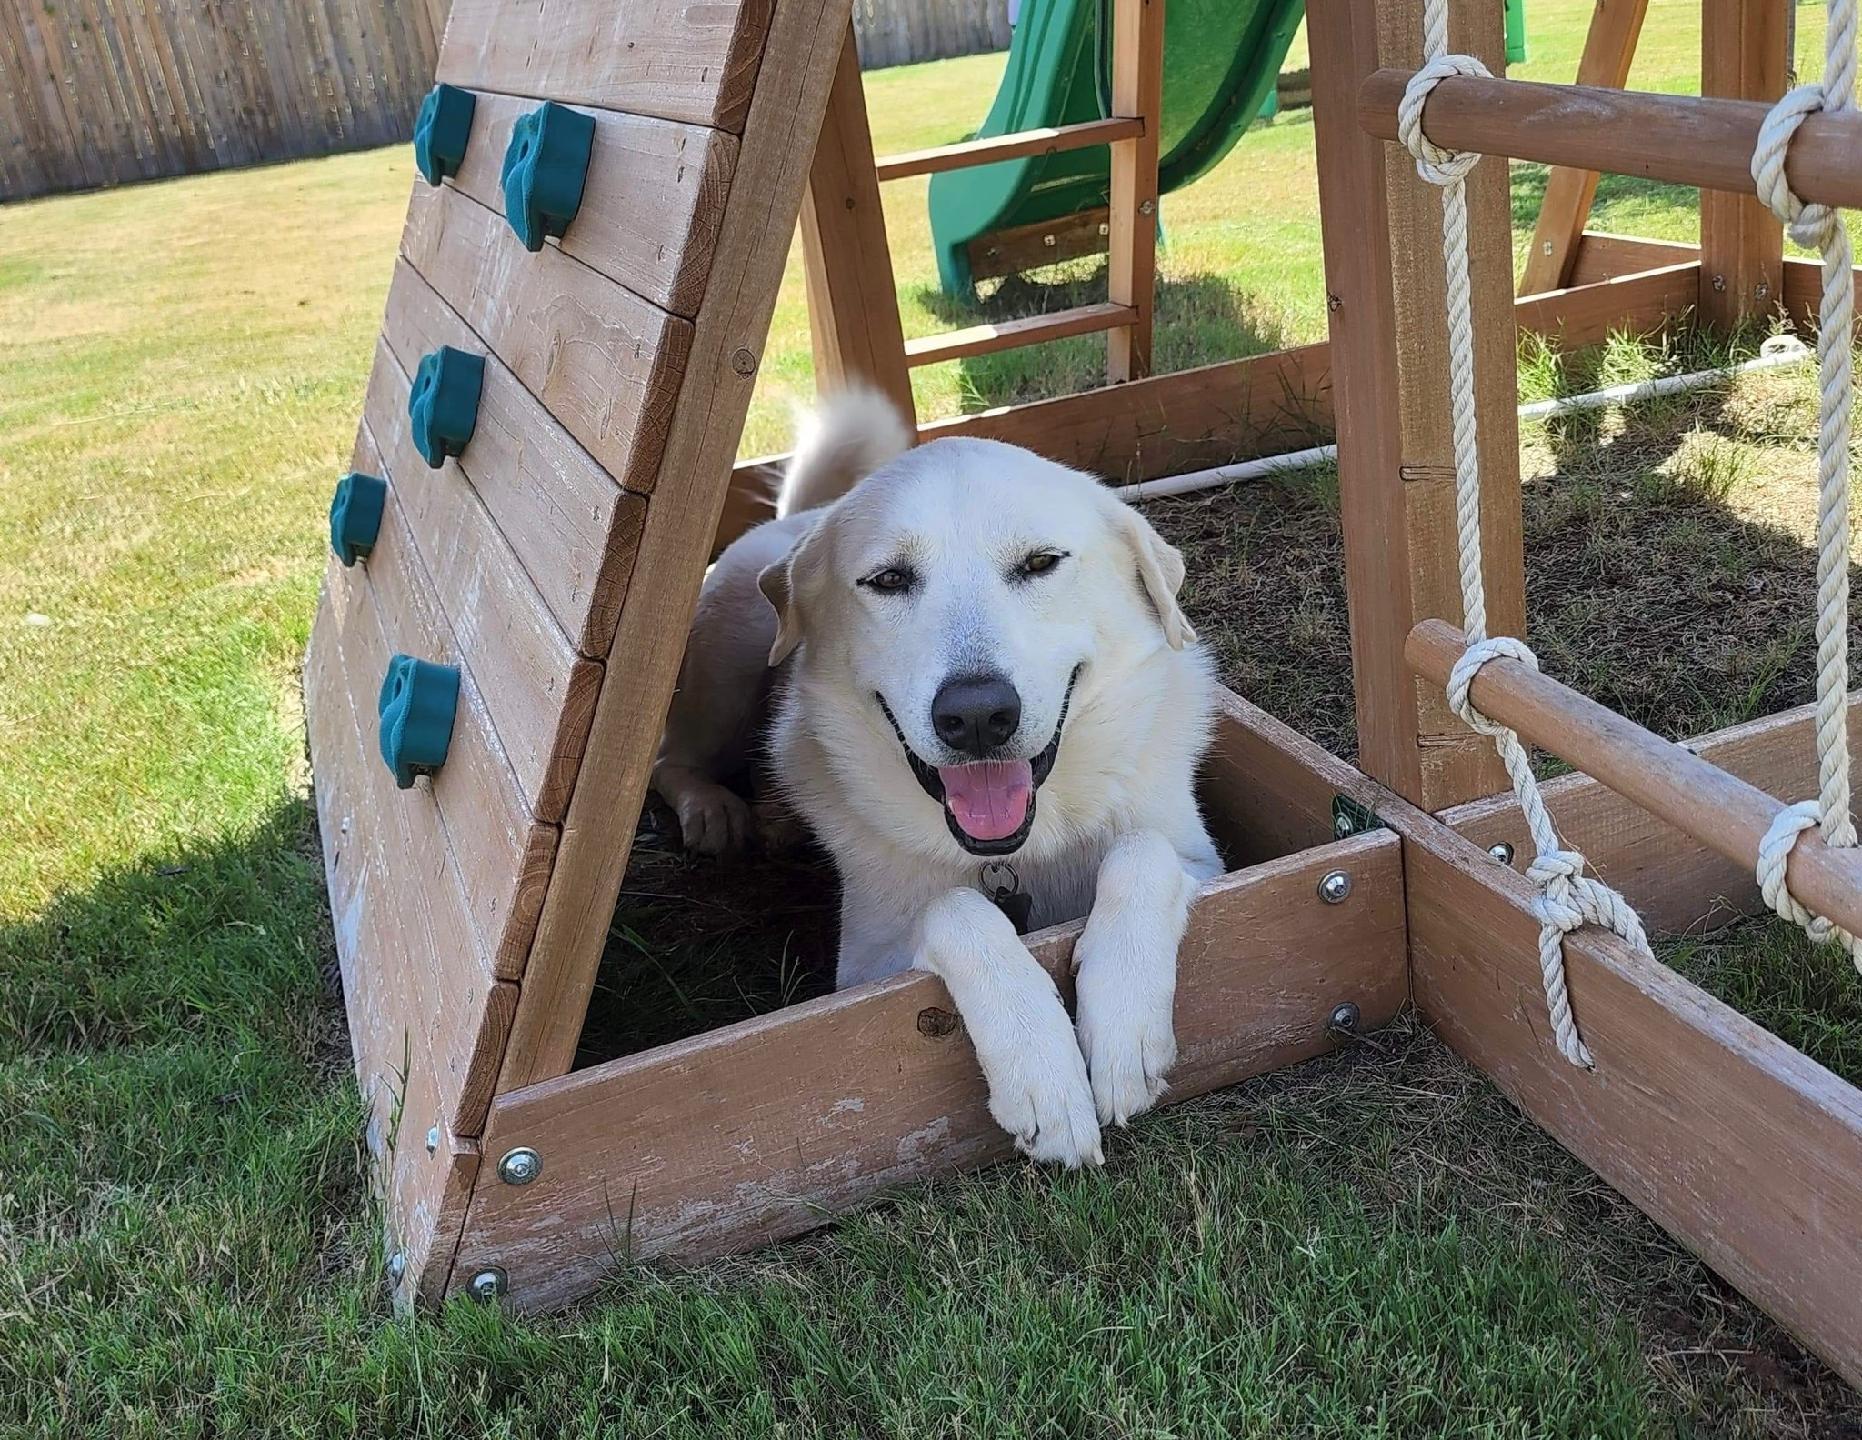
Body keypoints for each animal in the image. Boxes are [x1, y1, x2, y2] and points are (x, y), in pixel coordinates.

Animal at [655, 393, 1221, 1169]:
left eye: (1041, 563)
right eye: (889, 579)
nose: (977, 716)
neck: (1020, 854)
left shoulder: (1206, 862)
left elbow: (1142, 853)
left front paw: (1121, 1031)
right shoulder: (864, 966)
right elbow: (957, 909)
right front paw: (1043, 1076)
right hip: (728, 654)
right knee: (668, 757)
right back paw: (716, 809)